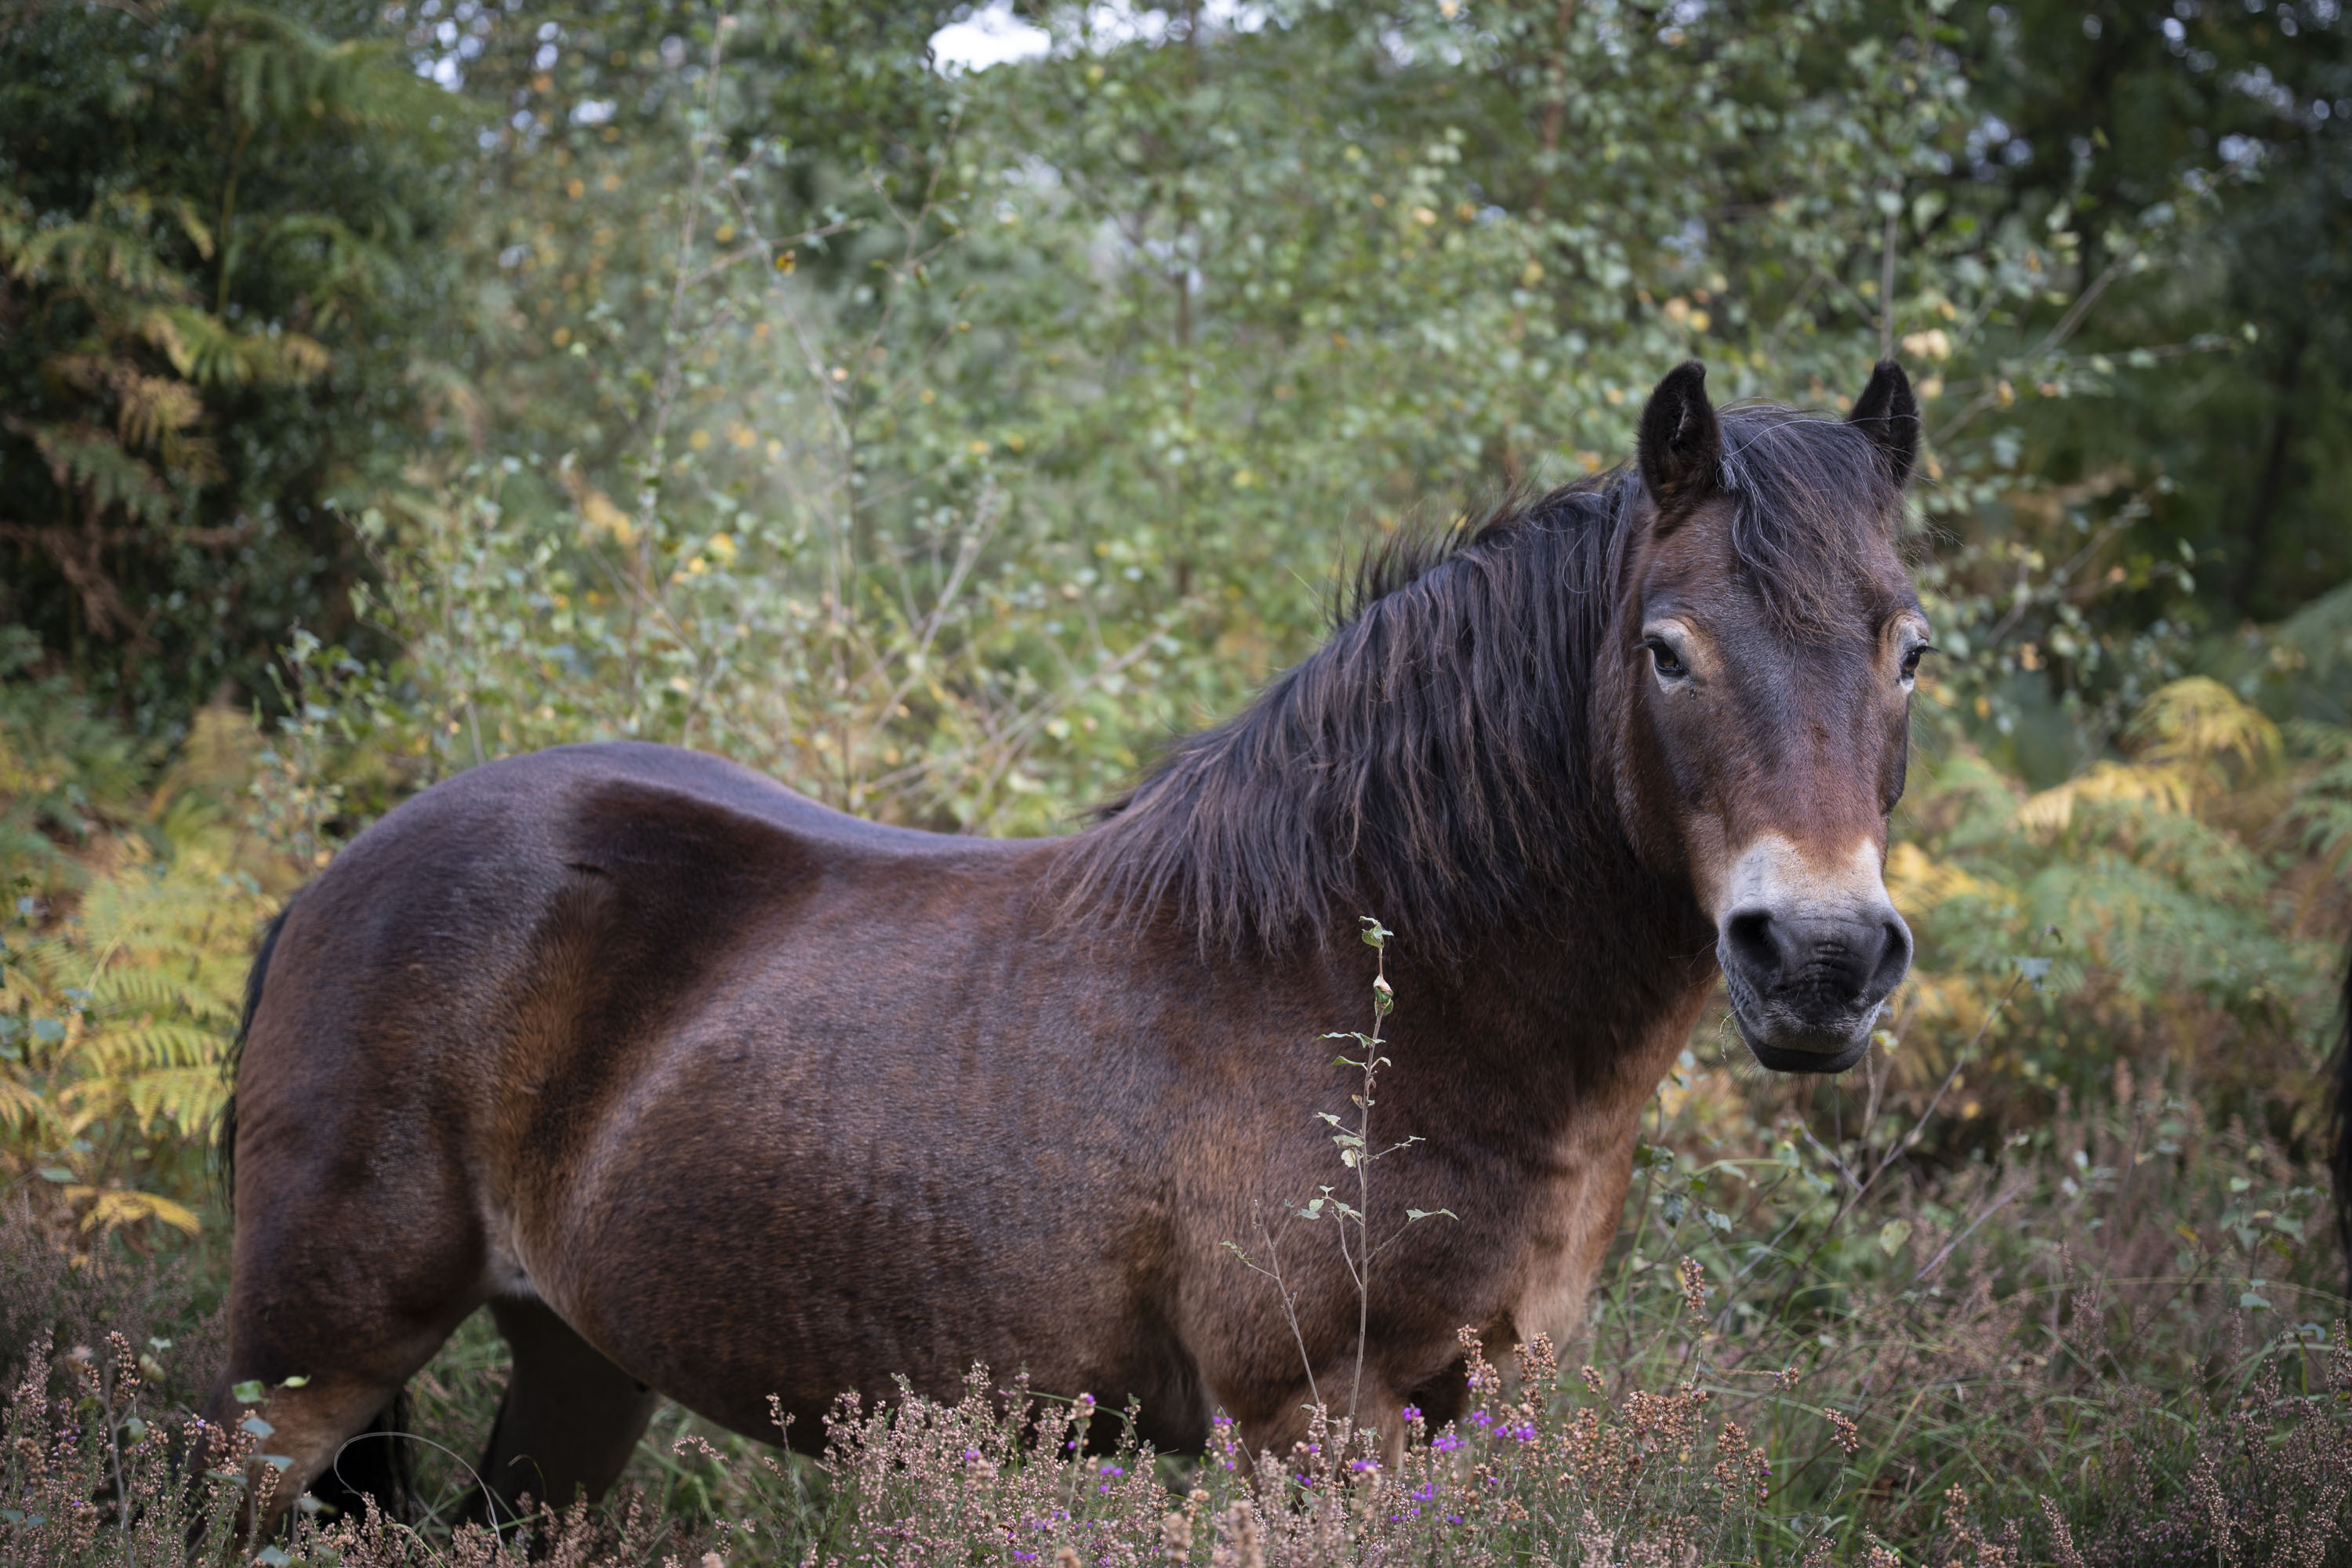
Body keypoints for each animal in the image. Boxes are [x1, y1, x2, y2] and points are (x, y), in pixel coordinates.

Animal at [199, 359, 1929, 1534]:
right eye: (1669, 652)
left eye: (1912, 648)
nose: (1819, 959)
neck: (1382, 977)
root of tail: (341, 878)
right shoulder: (1309, 1419)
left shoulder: (1468, 1409)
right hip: (302, 1371)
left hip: (571, 1358)